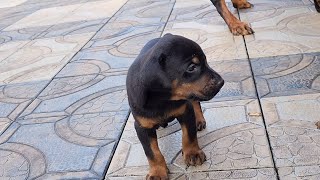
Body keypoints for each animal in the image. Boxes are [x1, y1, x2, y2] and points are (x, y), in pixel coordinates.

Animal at [126, 33, 224, 179]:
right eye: (191, 67)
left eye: (206, 61)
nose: (221, 82)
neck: (162, 99)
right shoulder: (142, 126)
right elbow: (152, 152)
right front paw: (157, 172)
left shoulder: (186, 111)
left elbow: (189, 136)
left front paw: (193, 153)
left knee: (196, 103)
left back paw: (199, 120)